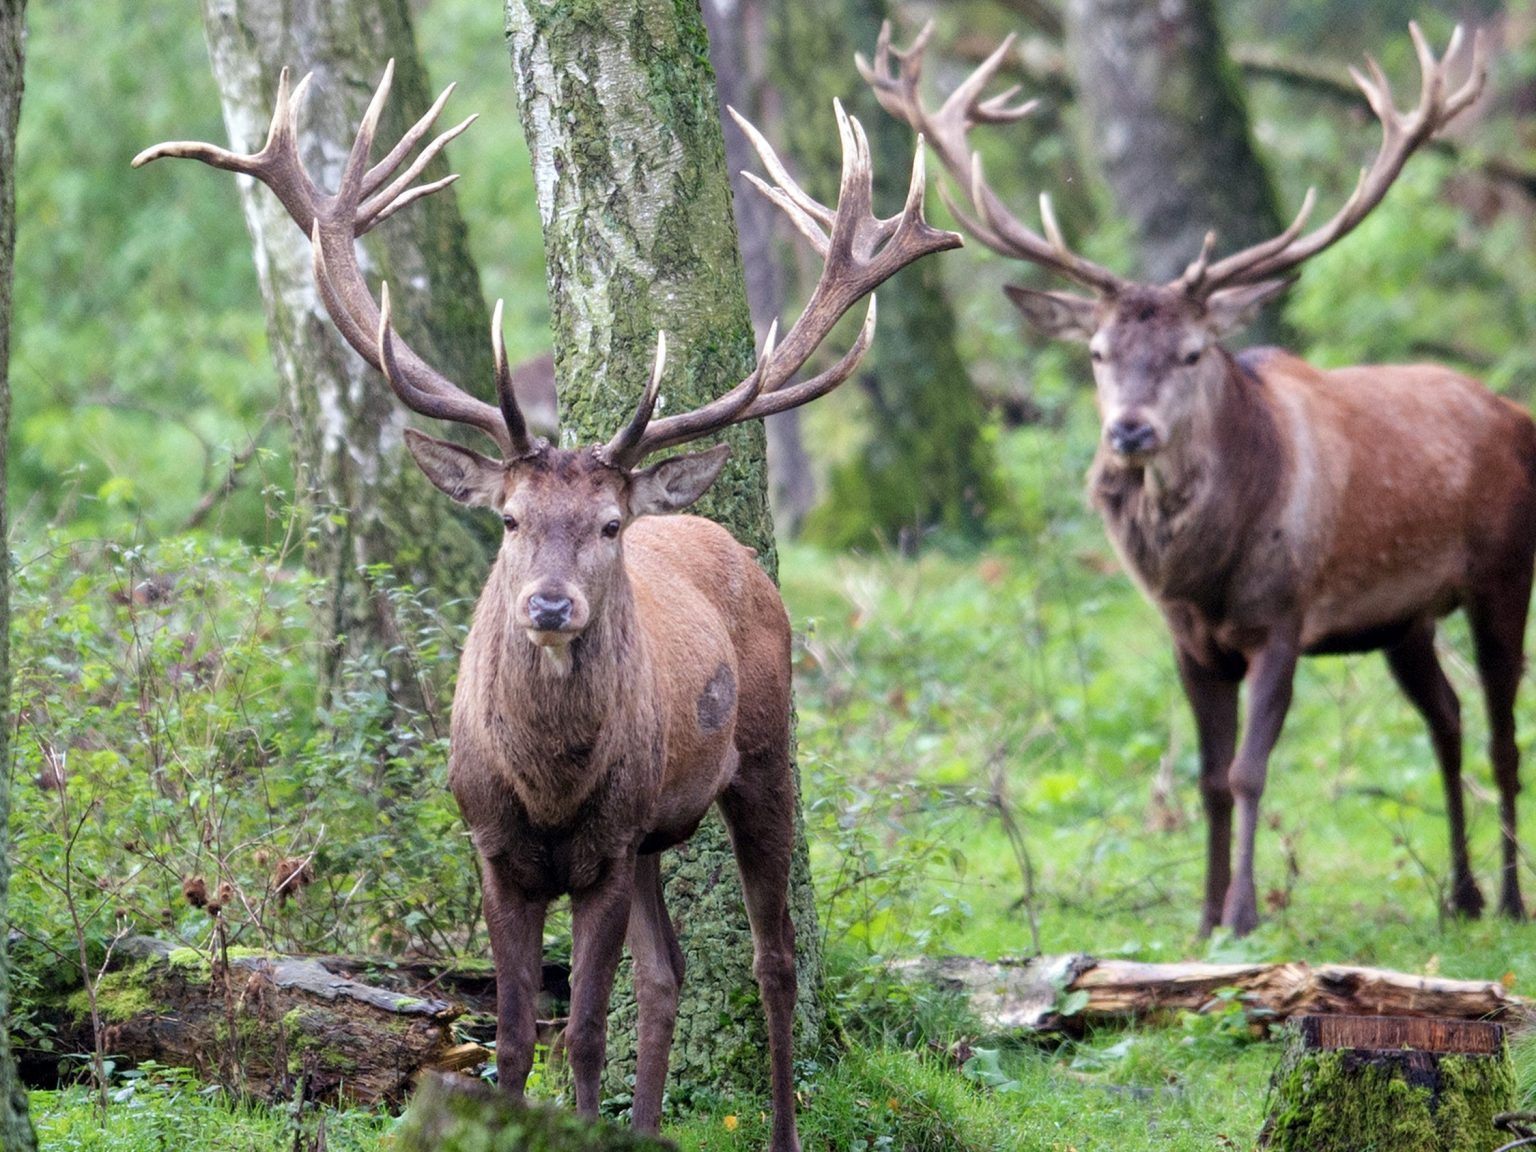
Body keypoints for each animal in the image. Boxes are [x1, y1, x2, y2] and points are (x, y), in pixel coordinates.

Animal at [136, 63, 959, 1148]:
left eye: (607, 524)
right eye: (511, 517)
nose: (553, 607)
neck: (551, 786)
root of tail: (721, 538)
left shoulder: (602, 850)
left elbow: (585, 1033)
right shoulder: (496, 846)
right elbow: (522, 1036)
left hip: (764, 753)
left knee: (771, 959)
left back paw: (779, 1122)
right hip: (653, 828)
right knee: (669, 975)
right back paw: (649, 1124)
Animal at [861, 22, 1536, 937]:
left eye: (1190, 352)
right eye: (1097, 351)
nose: (1130, 430)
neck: (1207, 571)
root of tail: (1514, 413)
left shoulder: (1284, 615)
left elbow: (1249, 771)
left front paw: (1247, 912)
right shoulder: (1188, 641)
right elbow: (1209, 778)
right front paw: (1206, 916)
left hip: (1503, 572)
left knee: (1504, 737)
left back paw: (1509, 898)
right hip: (1405, 619)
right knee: (1449, 721)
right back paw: (1461, 896)